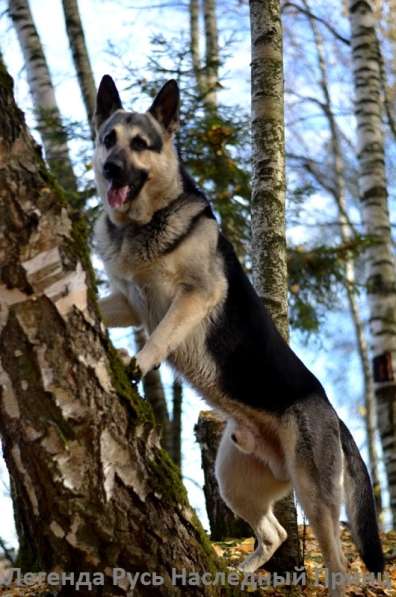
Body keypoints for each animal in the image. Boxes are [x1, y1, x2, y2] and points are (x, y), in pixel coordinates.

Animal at [93, 77, 384, 592]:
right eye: (109, 139)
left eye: (141, 144)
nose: (110, 170)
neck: (145, 224)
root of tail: (335, 417)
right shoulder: (127, 303)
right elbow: (87, 292)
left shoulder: (194, 296)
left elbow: (161, 335)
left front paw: (139, 364)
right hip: (234, 477)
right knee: (274, 533)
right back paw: (239, 573)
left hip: (316, 499)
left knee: (335, 562)